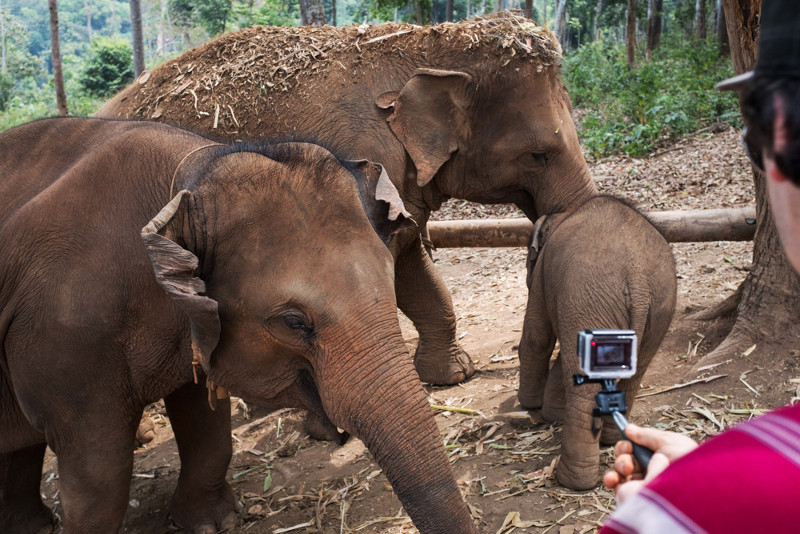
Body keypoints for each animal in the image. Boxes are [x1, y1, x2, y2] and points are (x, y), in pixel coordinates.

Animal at [0, 117, 478, 534]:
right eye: (293, 322)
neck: (189, 182)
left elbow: (206, 418)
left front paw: (214, 523)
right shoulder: (65, 342)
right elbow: (99, 473)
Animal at [518, 196, 677, 490]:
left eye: (529, 261)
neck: (565, 213)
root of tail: (638, 282)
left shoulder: (545, 276)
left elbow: (537, 336)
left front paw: (532, 406)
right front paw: (551, 412)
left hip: (589, 299)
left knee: (585, 389)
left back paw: (572, 481)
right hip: (660, 308)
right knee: (633, 375)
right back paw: (612, 441)